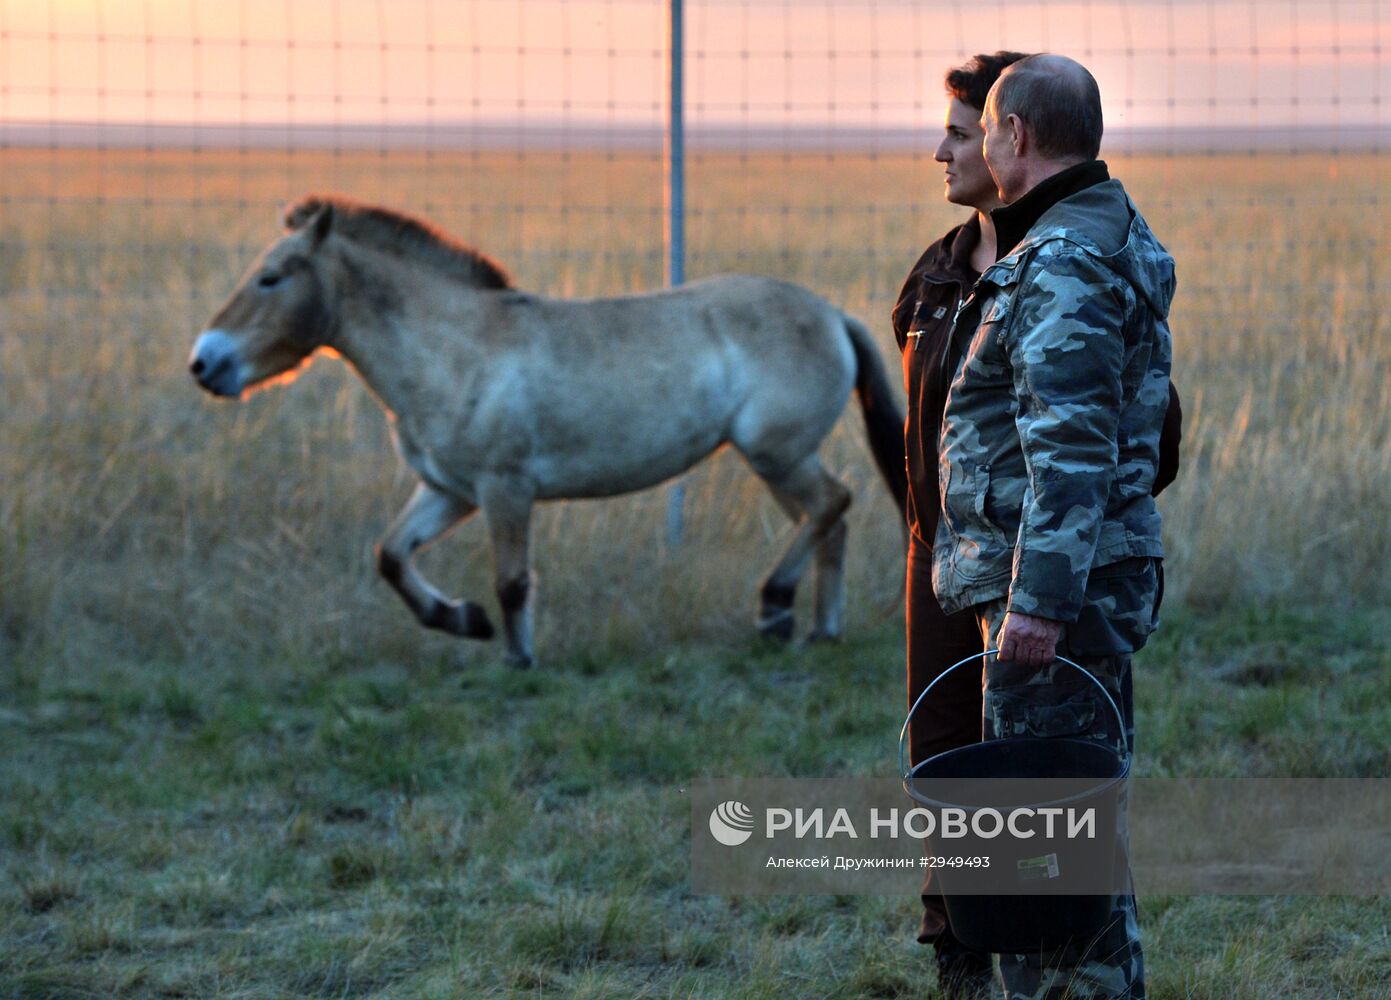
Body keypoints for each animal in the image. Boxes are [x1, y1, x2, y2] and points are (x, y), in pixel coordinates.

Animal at [193, 194, 912, 664]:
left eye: (270, 277)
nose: (204, 363)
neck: (455, 349)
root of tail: (832, 314)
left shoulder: (504, 488)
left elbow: (512, 580)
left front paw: (517, 658)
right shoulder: (449, 490)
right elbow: (391, 556)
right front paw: (464, 621)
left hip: (777, 453)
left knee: (832, 504)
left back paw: (774, 607)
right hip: (775, 460)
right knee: (828, 520)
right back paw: (815, 629)